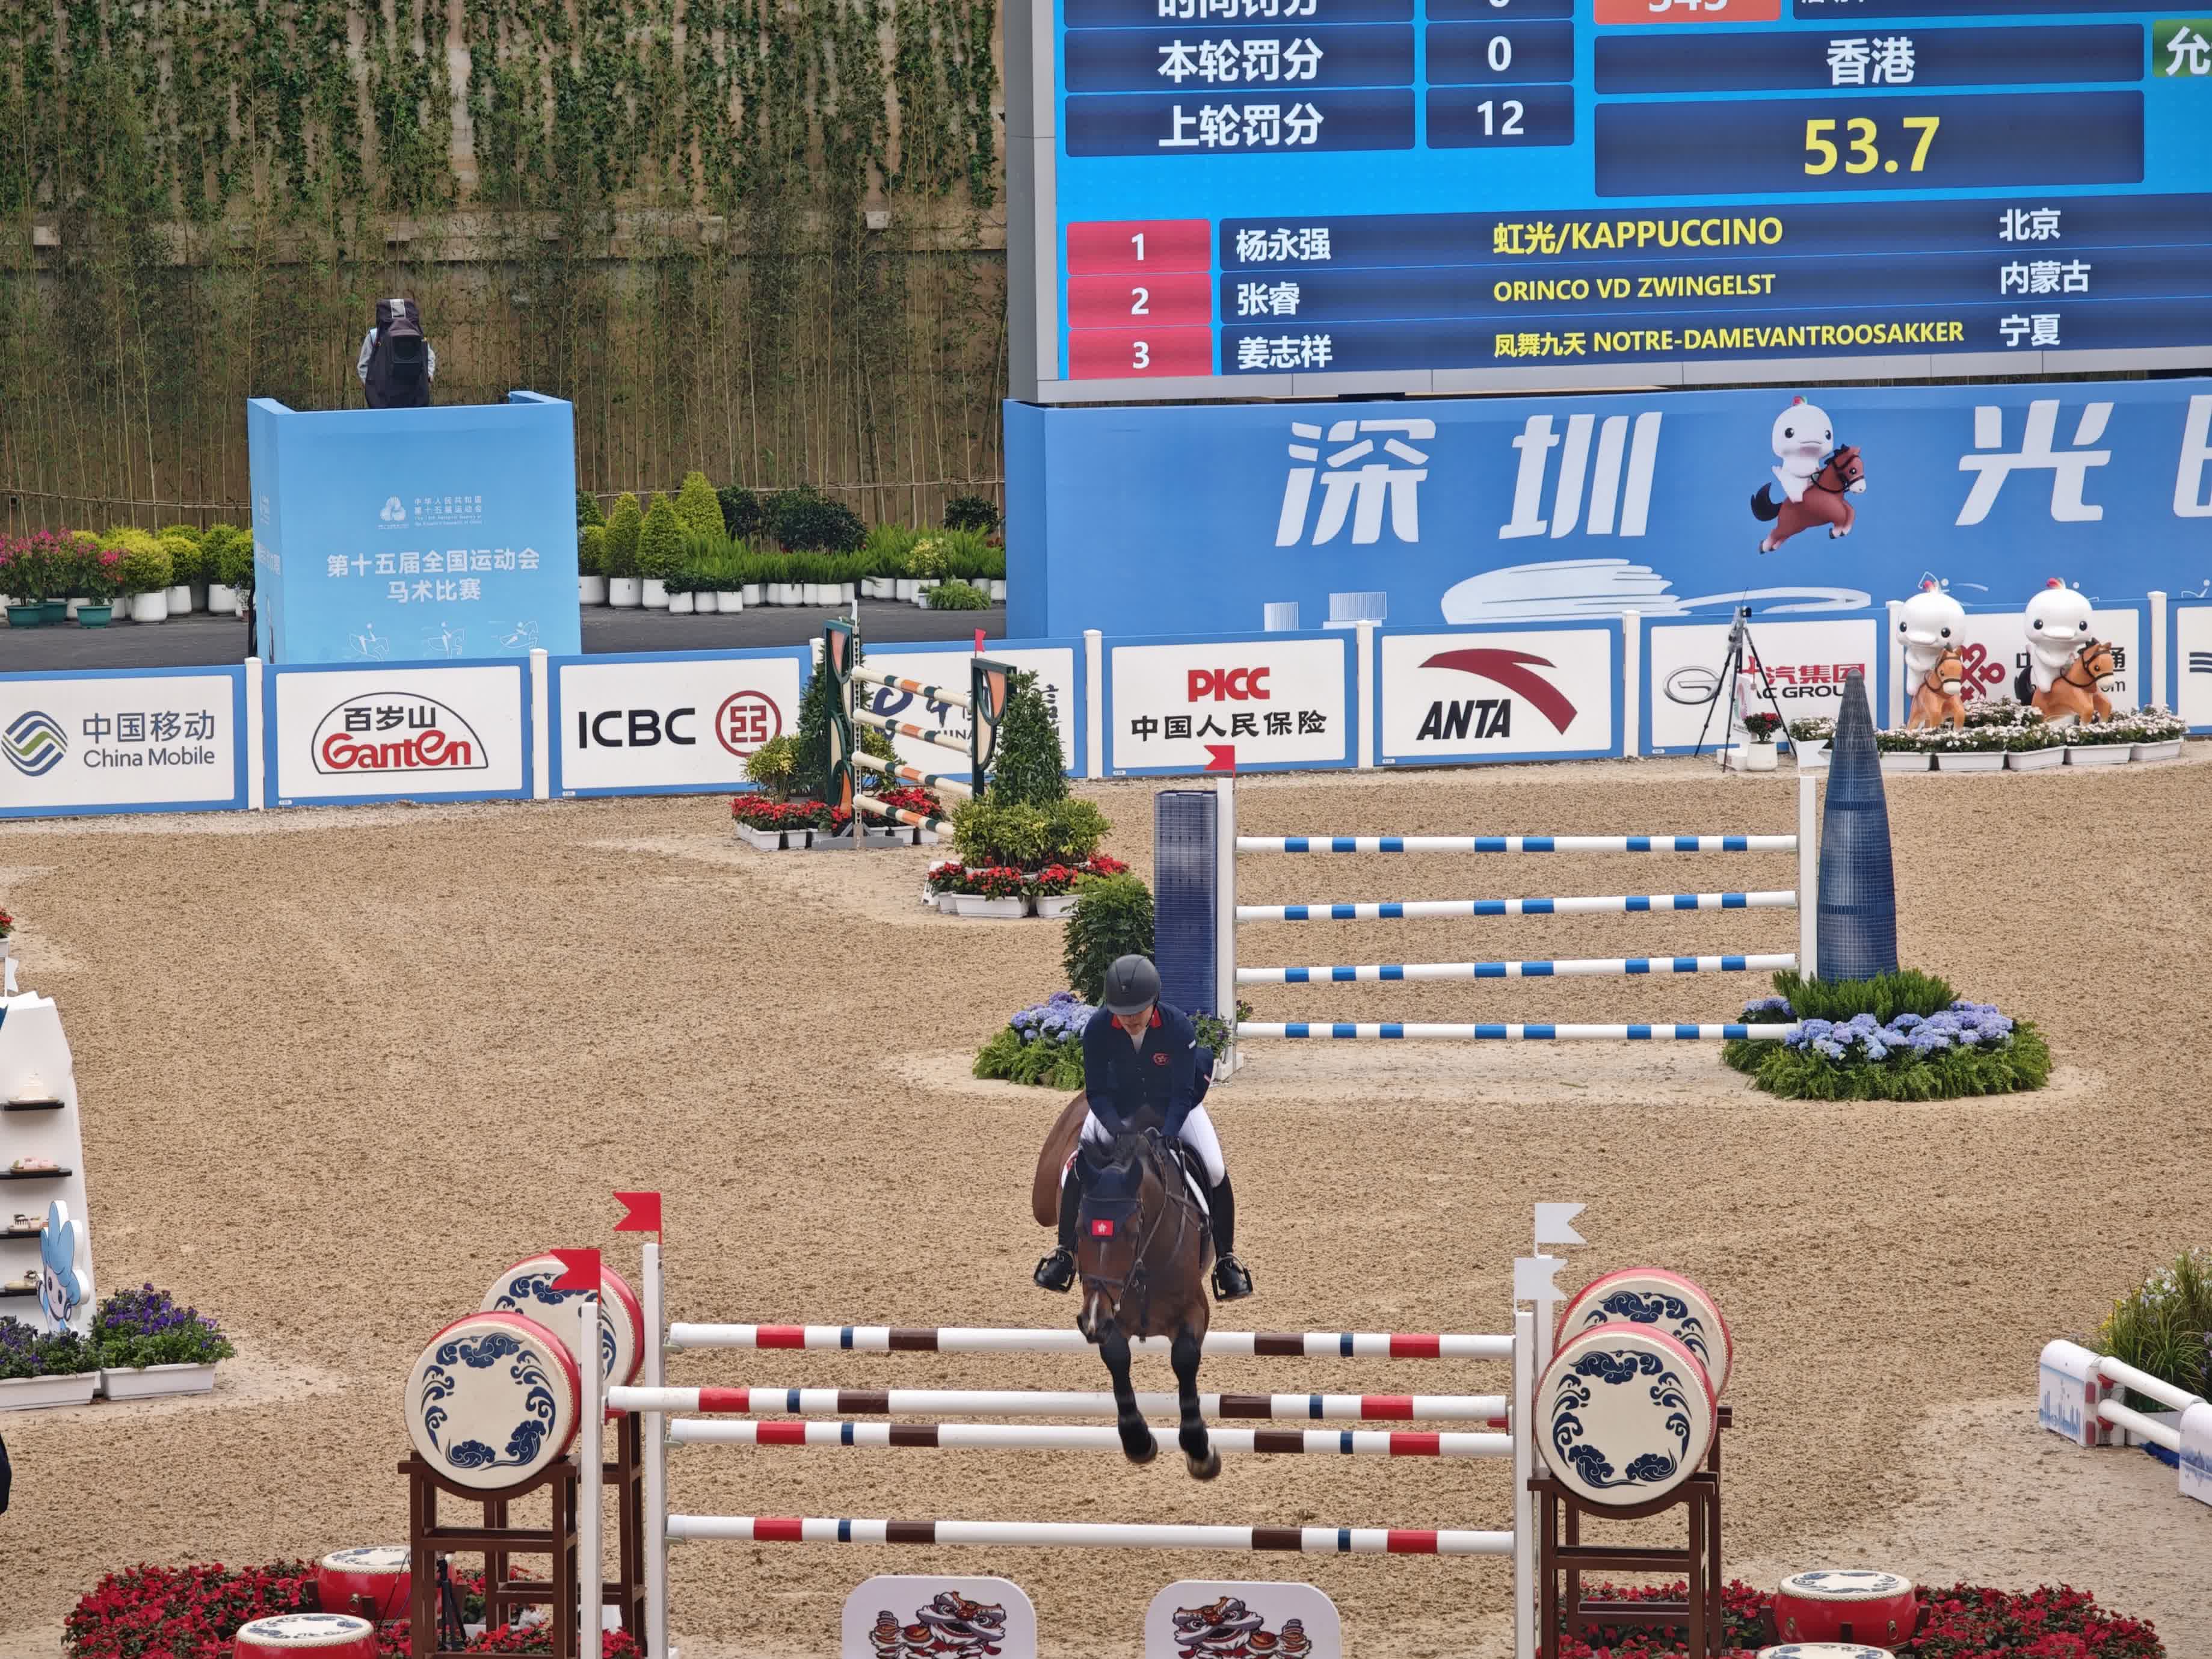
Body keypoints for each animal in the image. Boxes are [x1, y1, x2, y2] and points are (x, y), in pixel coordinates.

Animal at [1033, 1089, 1219, 1479]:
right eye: (1078, 1228)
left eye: (1133, 1232)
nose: (1091, 1321)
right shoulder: (1106, 1311)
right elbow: (1117, 1356)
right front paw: (1137, 1440)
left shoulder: (1195, 1309)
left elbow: (1184, 1358)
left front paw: (1199, 1448)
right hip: (1042, 1200)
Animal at [1751, 445, 1865, 553]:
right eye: (1853, 470)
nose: (1861, 489)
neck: (1828, 492)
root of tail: (1781, 507)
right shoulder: (1830, 511)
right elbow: (1841, 515)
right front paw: (1835, 532)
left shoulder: (1842, 504)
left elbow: (1850, 512)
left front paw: (1844, 531)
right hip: (1787, 526)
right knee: (1775, 532)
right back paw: (1763, 547)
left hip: (1796, 527)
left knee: (1782, 536)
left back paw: (1773, 547)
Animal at [1905, 646, 1967, 732]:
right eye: (1942, 673)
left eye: (1961, 672)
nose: (1953, 690)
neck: (1943, 695)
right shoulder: (1933, 708)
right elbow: (1936, 715)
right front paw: (1934, 730)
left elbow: (1960, 713)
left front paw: (1956, 731)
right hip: (1916, 717)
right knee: (1911, 726)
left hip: (1926, 717)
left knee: (1927, 724)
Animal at [2032, 638, 2116, 727]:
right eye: (2097, 668)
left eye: (2112, 663)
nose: (2109, 683)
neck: (2085, 688)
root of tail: (2037, 692)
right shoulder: (2081, 705)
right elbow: (2088, 712)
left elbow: (2107, 708)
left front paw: (2102, 726)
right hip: (2042, 711)